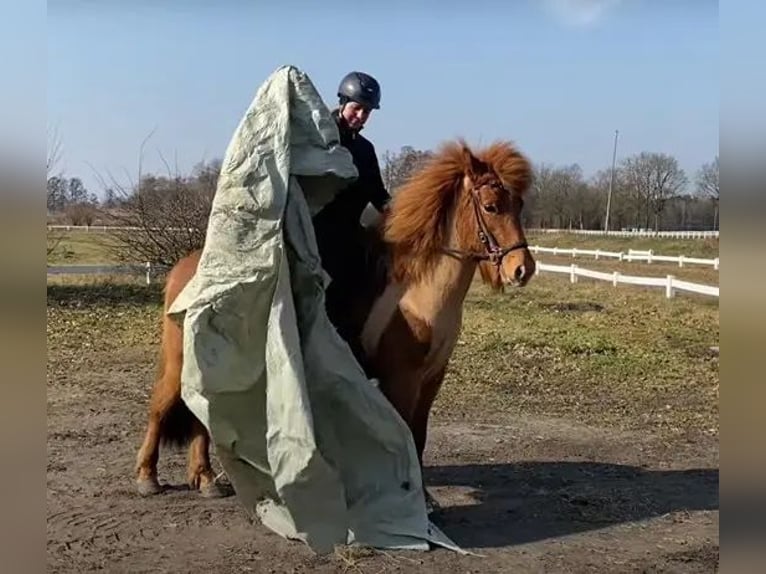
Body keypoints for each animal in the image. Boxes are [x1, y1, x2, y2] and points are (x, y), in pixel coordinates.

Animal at [136, 140, 536, 504]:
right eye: (491, 206)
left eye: (518, 205)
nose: (523, 270)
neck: (416, 290)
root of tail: (186, 267)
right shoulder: (401, 378)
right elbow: (407, 431)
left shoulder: (432, 377)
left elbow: (420, 433)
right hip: (181, 359)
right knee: (160, 405)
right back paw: (148, 477)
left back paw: (205, 479)